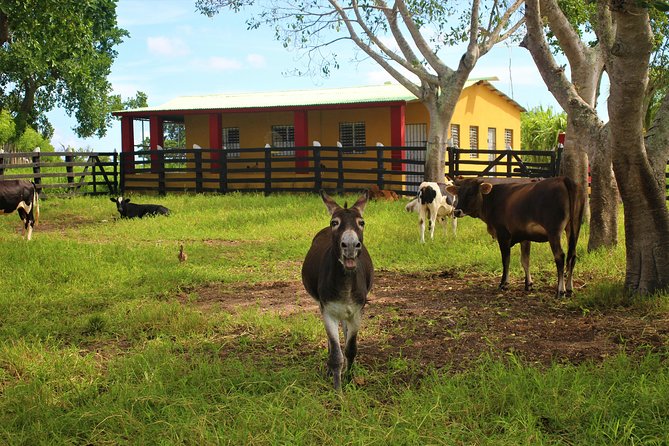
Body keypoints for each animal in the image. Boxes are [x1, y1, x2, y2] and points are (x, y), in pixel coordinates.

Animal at [446, 176, 580, 298]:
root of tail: (562, 179)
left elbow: (506, 260)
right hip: (573, 228)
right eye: (458, 193)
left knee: (560, 257)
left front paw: (503, 284)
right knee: (572, 256)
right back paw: (569, 289)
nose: (457, 211)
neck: (493, 200)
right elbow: (525, 260)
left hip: (554, 231)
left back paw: (560, 290)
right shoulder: (525, 237)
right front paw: (528, 284)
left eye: (471, 193)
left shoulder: (503, 235)